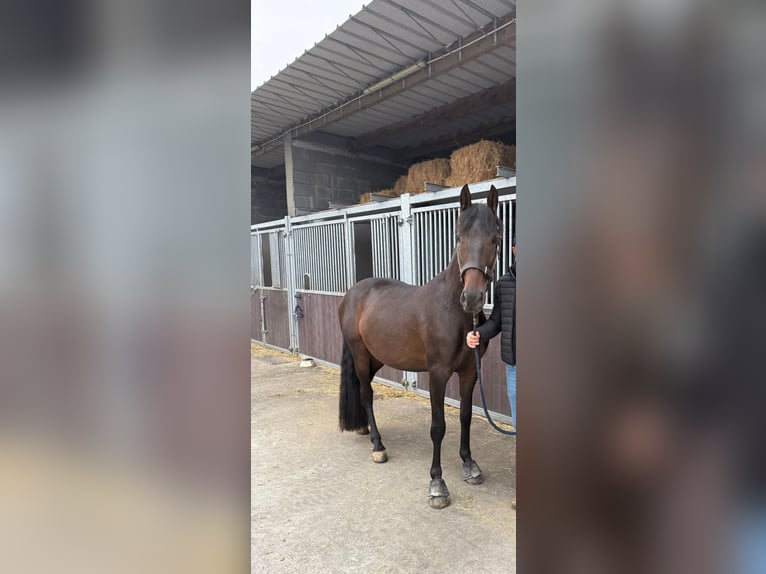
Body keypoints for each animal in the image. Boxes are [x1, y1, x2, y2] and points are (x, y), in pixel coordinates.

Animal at [337, 184, 502, 509]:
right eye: (458, 238)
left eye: (495, 238)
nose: (472, 298)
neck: (452, 311)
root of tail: (352, 294)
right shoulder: (438, 374)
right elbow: (438, 426)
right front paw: (437, 484)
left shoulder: (468, 373)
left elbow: (465, 416)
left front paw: (469, 465)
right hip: (360, 355)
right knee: (366, 394)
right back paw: (377, 445)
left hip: (376, 357)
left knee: (364, 391)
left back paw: (363, 428)